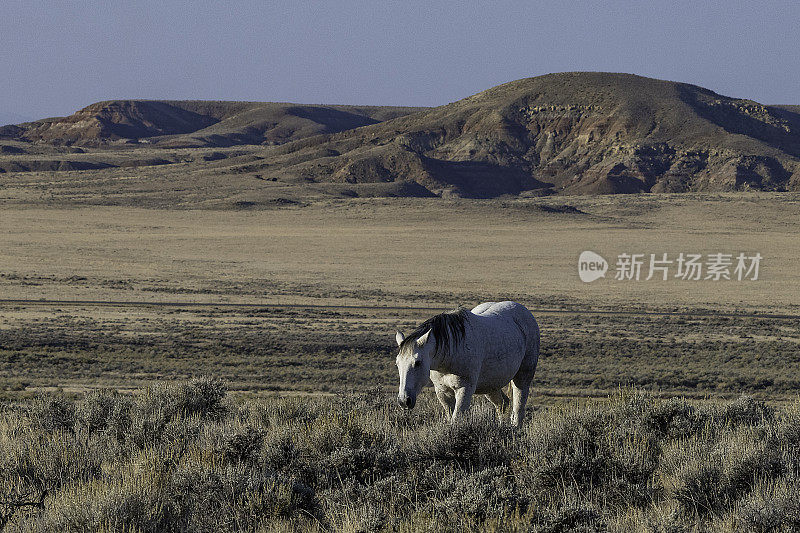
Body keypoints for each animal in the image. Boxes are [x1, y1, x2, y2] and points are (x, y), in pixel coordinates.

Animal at [396, 302, 540, 426]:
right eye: (397, 364)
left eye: (417, 362)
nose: (404, 401)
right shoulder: (442, 392)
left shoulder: (464, 389)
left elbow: (456, 419)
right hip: (491, 384)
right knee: (502, 404)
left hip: (522, 377)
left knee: (518, 408)